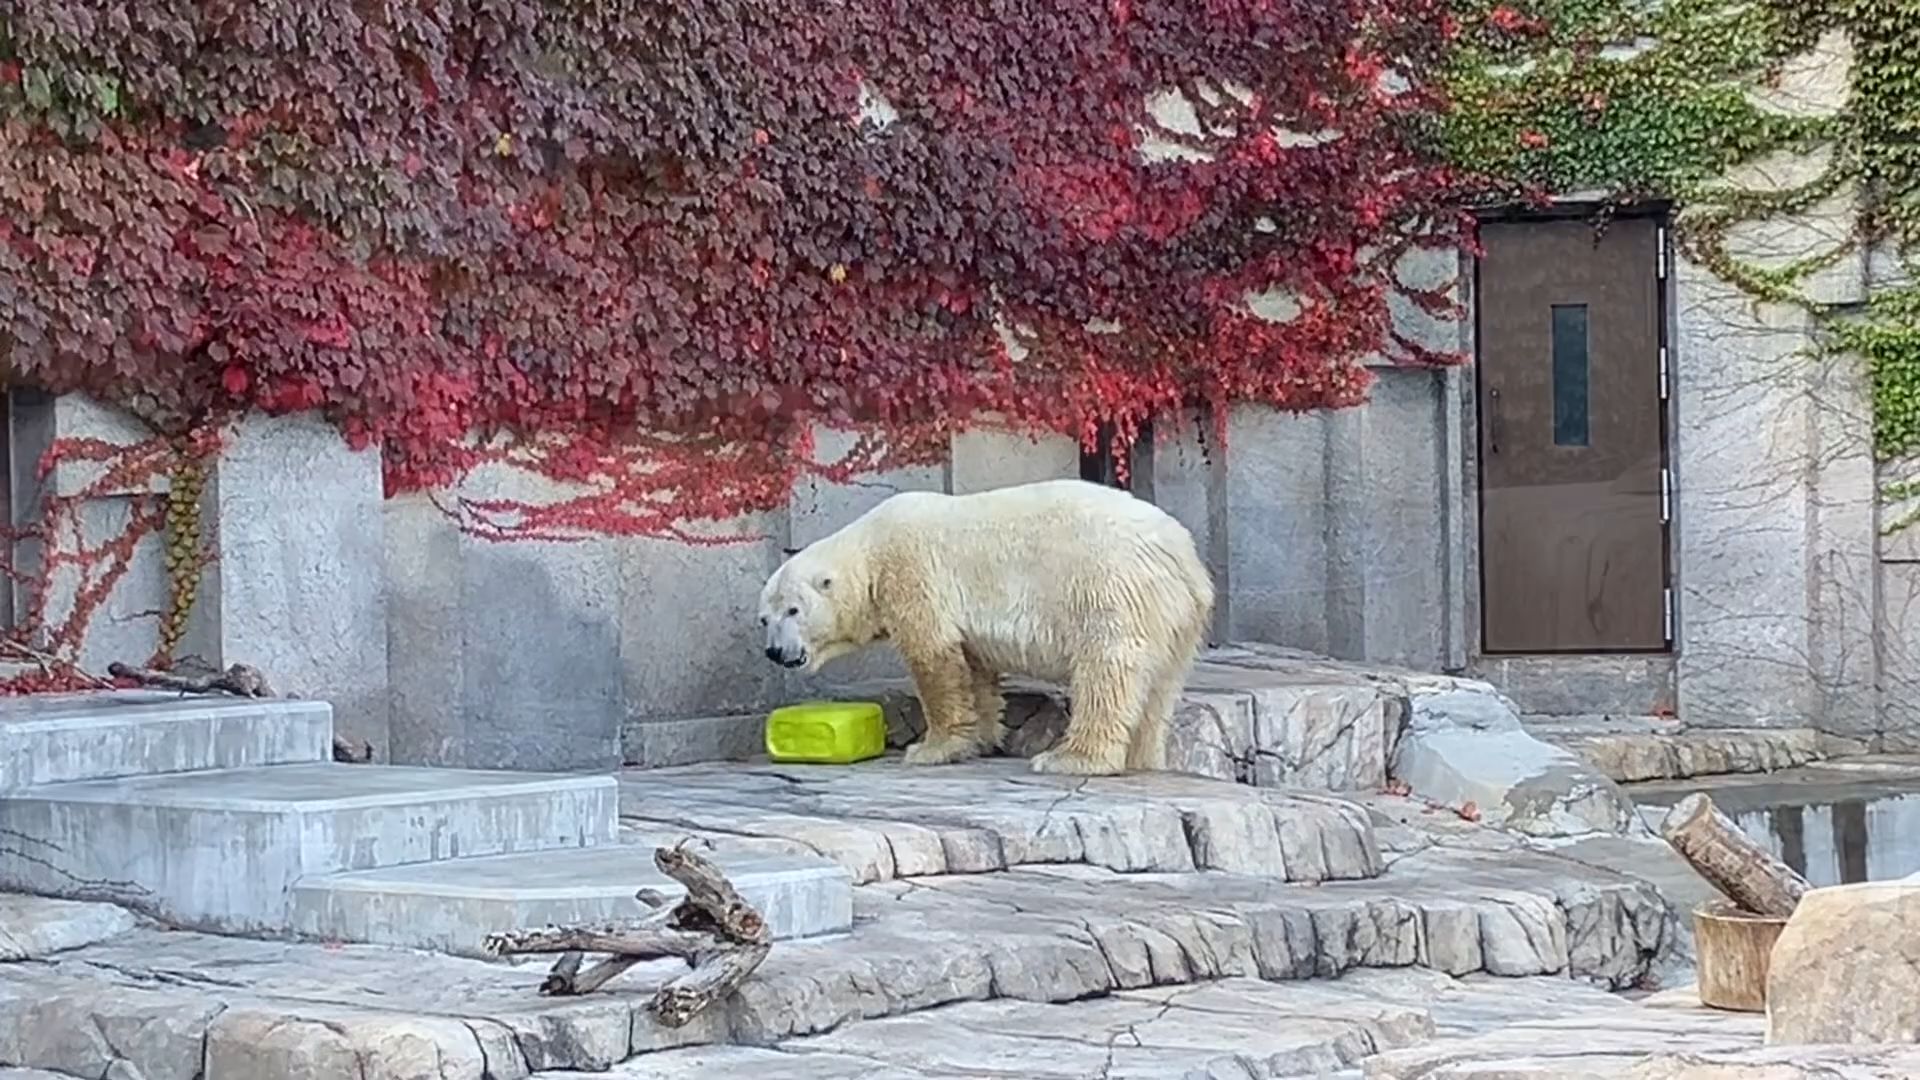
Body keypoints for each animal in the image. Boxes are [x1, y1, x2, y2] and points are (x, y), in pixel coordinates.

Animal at [752, 474, 1213, 768]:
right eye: (763, 618)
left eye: (793, 610)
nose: (775, 651)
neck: (870, 549)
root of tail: (1180, 553)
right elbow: (974, 670)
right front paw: (984, 736)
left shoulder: (913, 573)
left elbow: (933, 658)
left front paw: (930, 749)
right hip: (1178, 618)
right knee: (1160, 685)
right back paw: (1143, 756)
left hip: (1107, 589)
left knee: (1106, 670)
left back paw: (1071, 758)